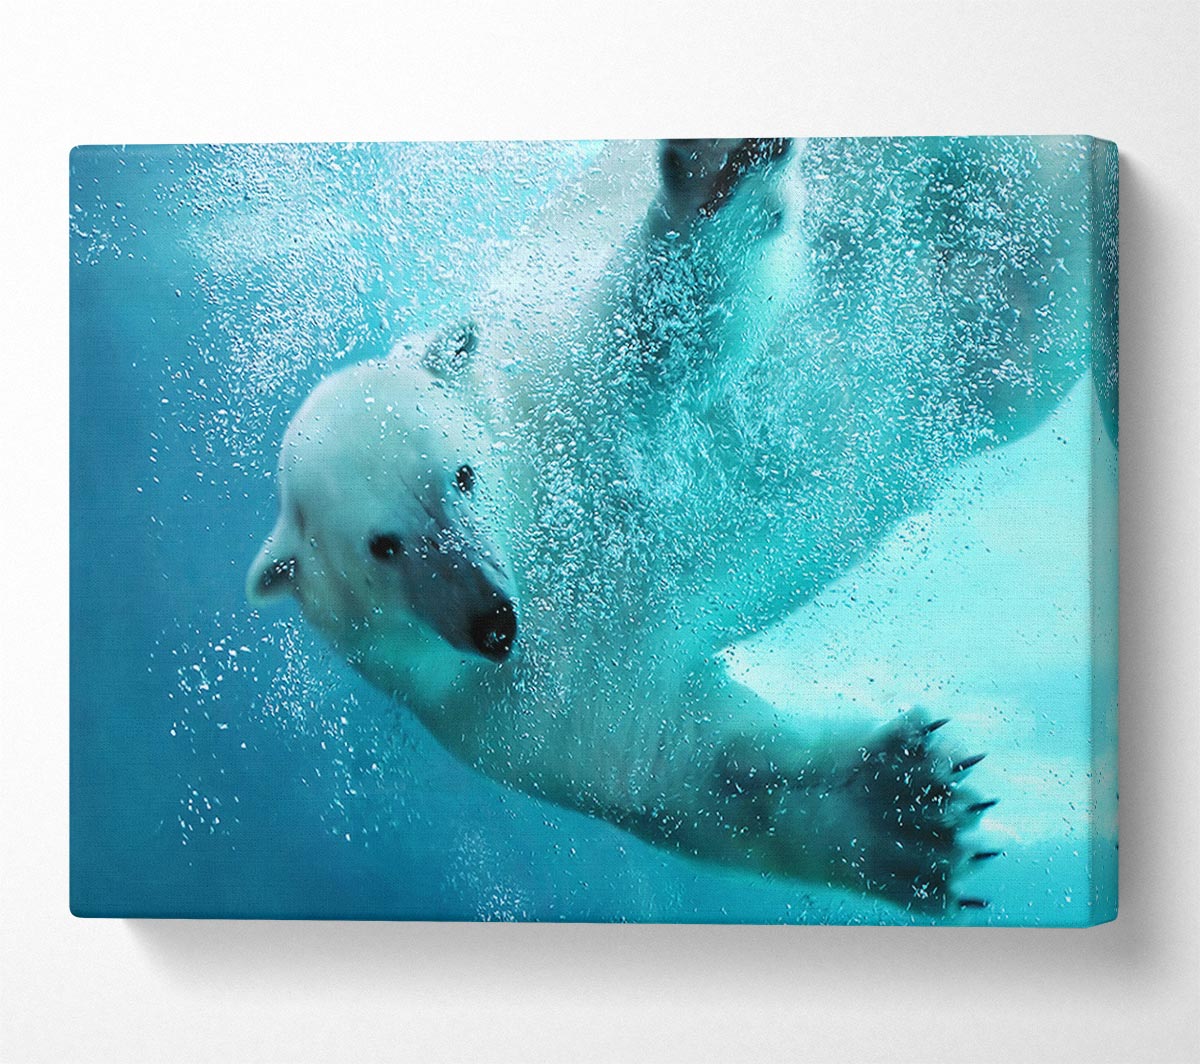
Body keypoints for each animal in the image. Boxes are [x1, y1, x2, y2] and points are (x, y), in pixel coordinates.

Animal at [247, 137, 1105, 913]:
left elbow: (668, 317)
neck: (545, 542)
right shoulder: (523, 712)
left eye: (461, 474)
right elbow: (691, 770)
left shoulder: (569, 382)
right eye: (382, 546)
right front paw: (909, 813)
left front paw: (715, 170)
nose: (491, 621)